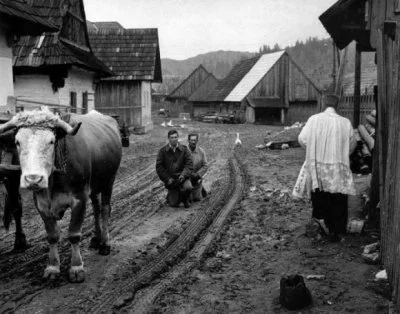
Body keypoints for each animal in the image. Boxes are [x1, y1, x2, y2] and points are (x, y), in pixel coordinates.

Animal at [0, 108, 122, 282]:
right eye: (17, 142)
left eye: (51, 141)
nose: (33, 179)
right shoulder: (42, 204)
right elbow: (52, 235)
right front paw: (52, 267)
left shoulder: (79, 198)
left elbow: (74, 234)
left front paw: (76, 267)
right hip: (94, 186)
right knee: (96, 208)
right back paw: (96, 239)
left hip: (108, 181)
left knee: (105, 210)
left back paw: (105, 243)